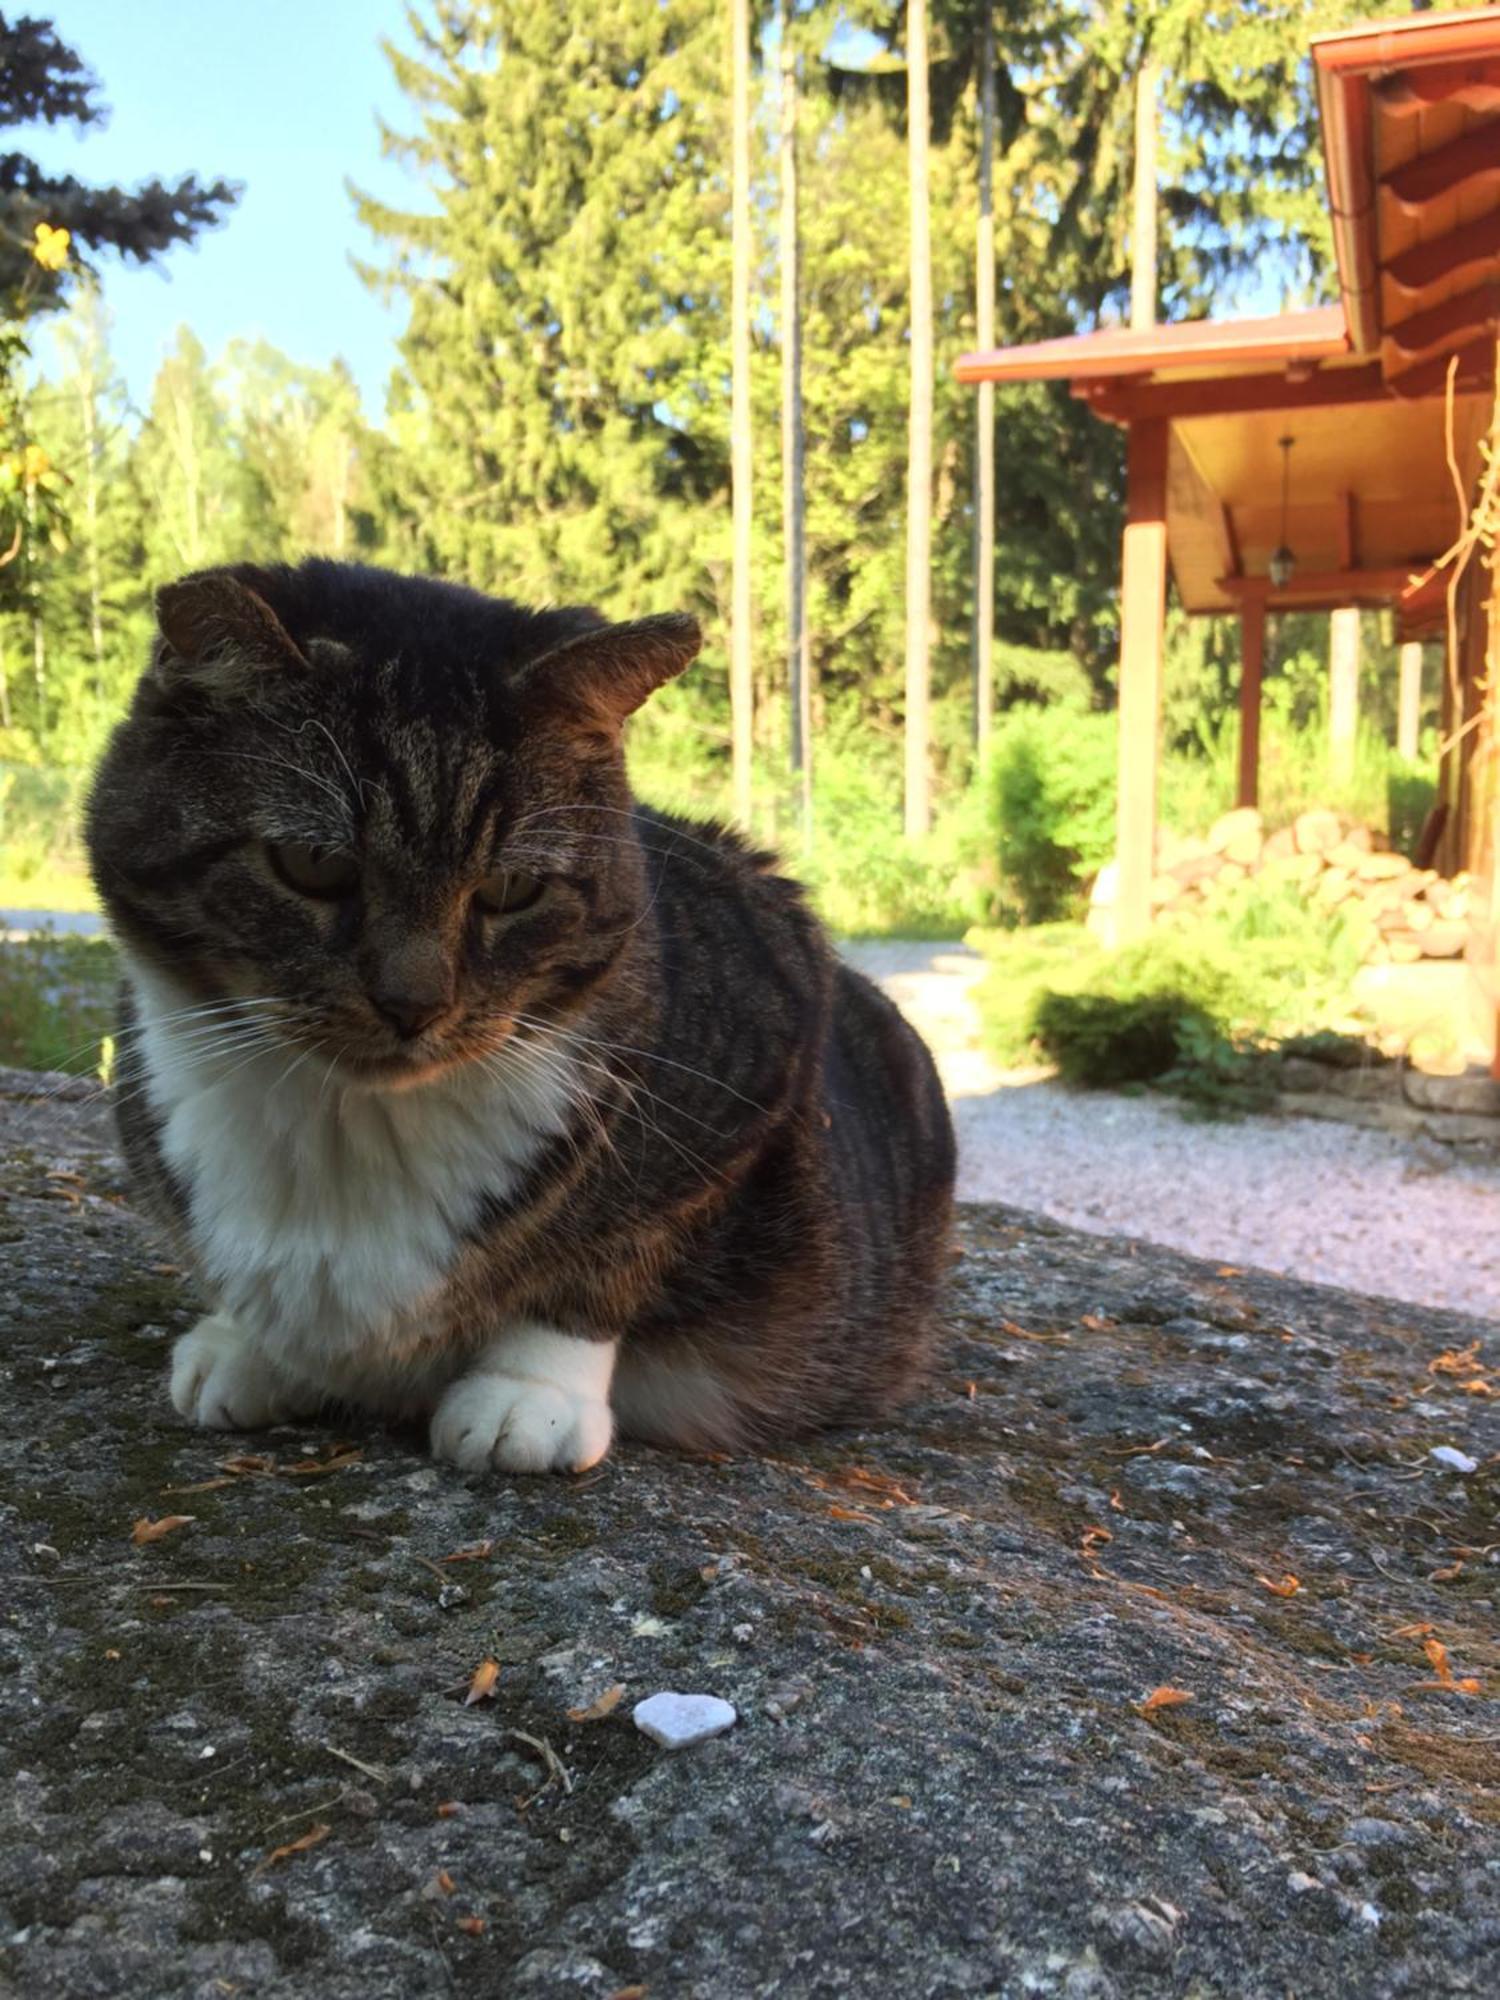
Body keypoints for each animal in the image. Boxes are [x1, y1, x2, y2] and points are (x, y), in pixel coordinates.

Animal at [88, 560, 964, 1472]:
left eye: (512, 889)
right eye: (312, 864)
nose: (414, 1004)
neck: (348, 1123)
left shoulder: (763, 1045)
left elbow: (607, 1254)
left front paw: (527, 1390)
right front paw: (247, 1342)